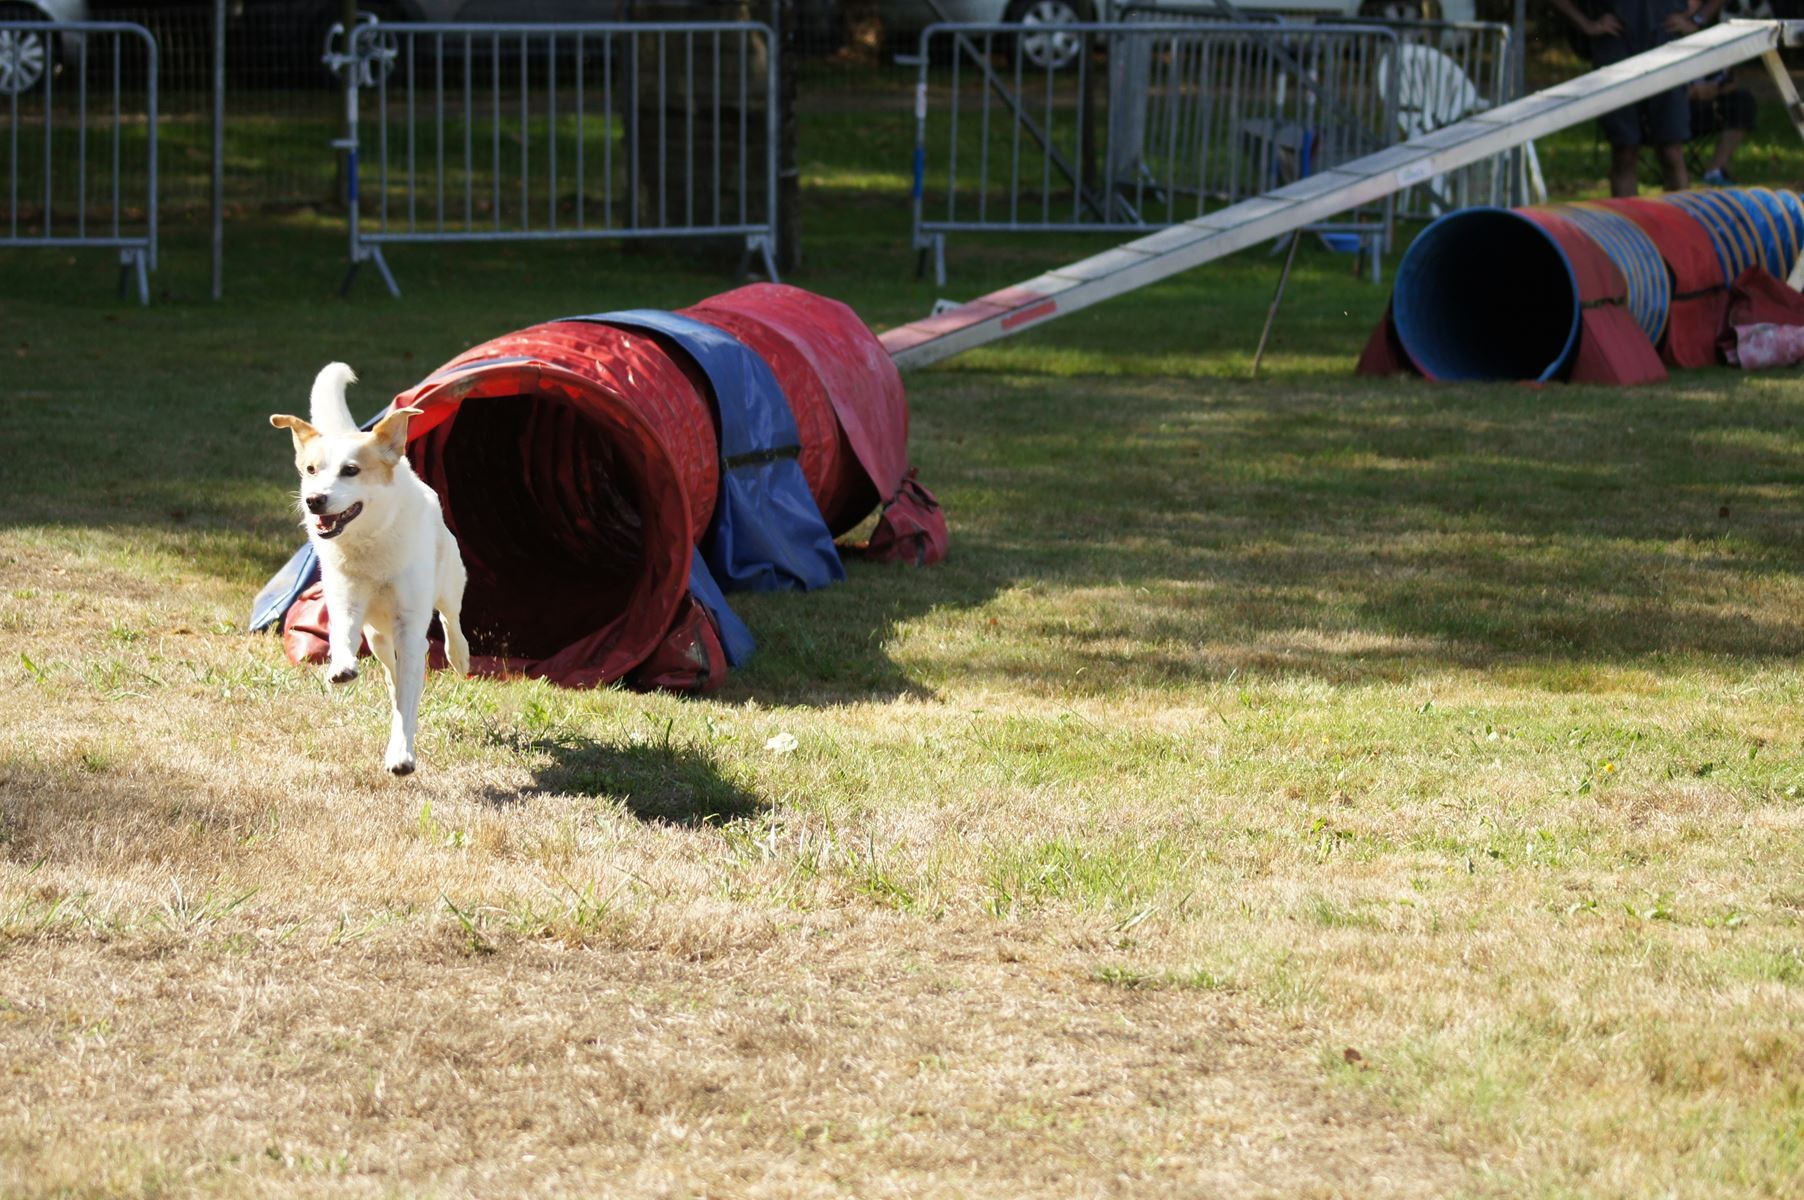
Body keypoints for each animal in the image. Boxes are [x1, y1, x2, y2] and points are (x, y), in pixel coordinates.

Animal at [270, 362, 472, 775]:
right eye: (311, 469)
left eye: (351, 470)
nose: (314, 500)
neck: (369, 545)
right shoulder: (347, 597)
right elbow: (342, 635)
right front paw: (342, 666)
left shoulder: (410, 626)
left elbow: (409, 697)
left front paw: (401, 754)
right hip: (378, 637)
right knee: (390, 669)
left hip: (449, 577)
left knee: (451, 617)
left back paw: (460, 657)